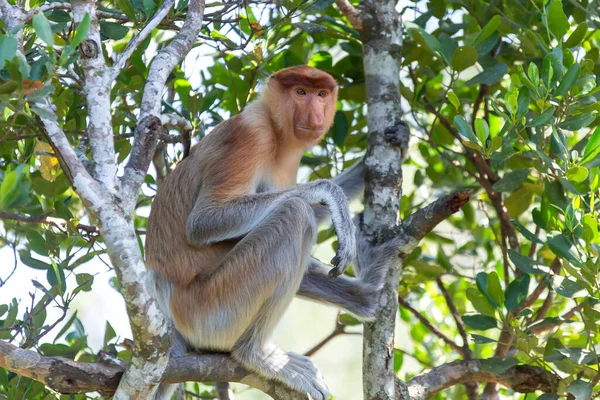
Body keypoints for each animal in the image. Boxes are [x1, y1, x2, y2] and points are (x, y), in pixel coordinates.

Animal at [146, 65, 398, 396]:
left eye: (322, 94)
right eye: (300, 92)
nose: (315, 115)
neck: (276, 130)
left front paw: (379, 155)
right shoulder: (250, 137)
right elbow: (204, 221)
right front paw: (331, 194)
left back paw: (366, 292)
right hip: (210, 310)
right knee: (295, 214)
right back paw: (257, 355)